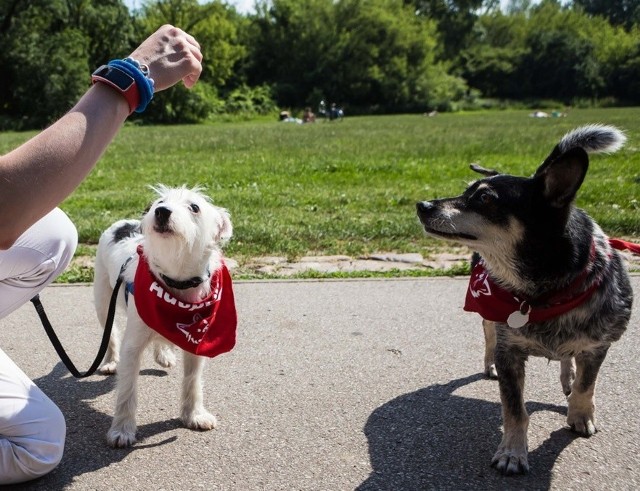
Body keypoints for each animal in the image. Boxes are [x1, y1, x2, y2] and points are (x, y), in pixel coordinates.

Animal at [94, 185, 236, 450]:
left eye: (194, 207)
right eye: (159, 202)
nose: (161, 211)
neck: (175, 280)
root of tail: (123, 222)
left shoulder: (196, 342)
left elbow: (192, 380)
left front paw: (194, 415)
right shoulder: (133, 345)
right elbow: (127, 389)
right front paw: (122, 430)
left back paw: (164, 354)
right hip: (102, 298)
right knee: (111, 334)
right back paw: (110, 361)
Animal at [418, 126, 632, 476]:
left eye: (485, 198)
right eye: (466, 191)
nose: (422, 205)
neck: (544, 293)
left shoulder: (598, 344)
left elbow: (586, 384)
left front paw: (580, 415)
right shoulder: (510, 351)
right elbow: (515, 409)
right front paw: (512, 452)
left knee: (569, 361)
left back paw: (568, 376)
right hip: (488, 317)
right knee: (489, 336)